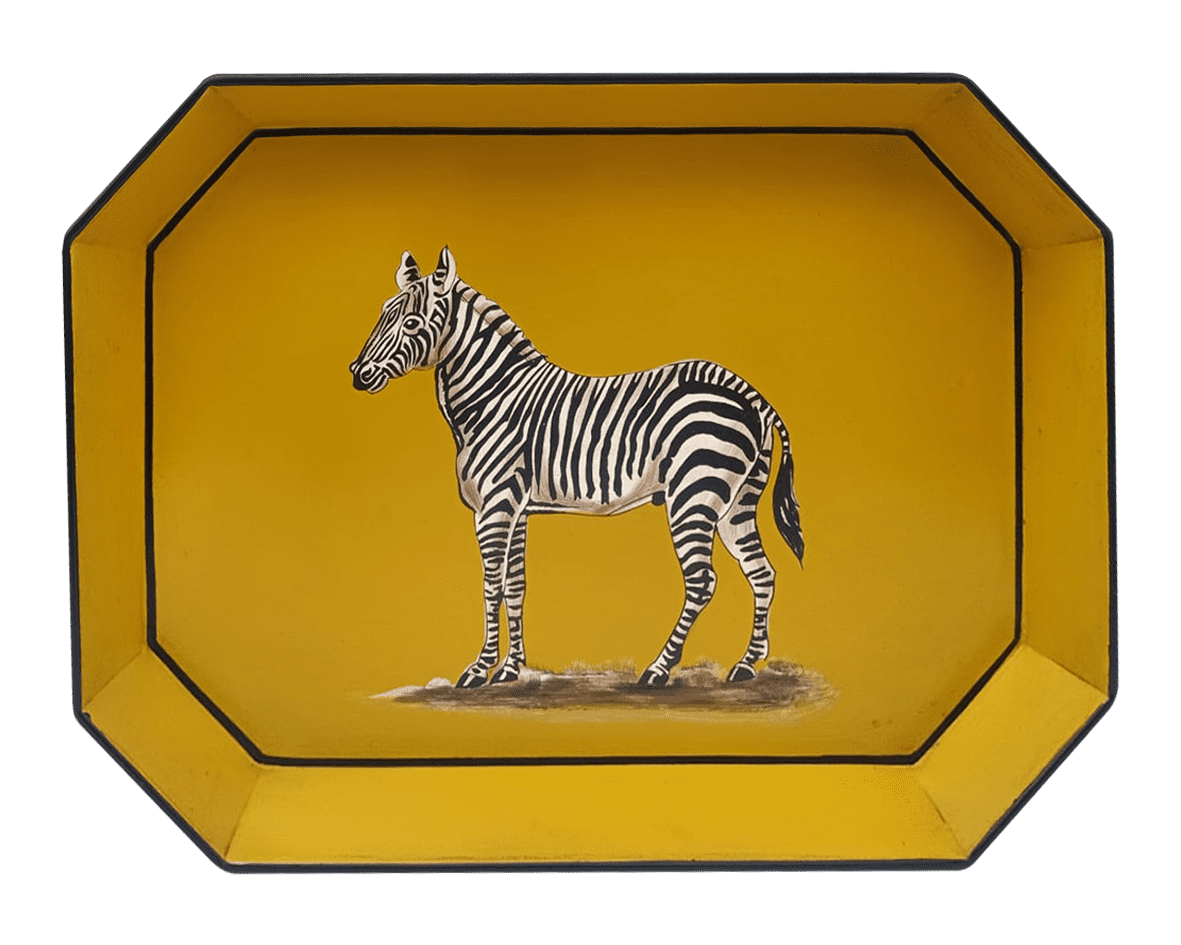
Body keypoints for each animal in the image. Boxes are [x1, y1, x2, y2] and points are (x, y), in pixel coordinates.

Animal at [350, 247, 803, 689]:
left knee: (702, 582)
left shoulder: (495, 505)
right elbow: (516, 586)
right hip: (735, 502)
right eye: (382, 313)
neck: (494, 396)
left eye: (411, 323)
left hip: (694, 495)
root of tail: (750, 392)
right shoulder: (518, 508)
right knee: (762, 573)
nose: (357, 375)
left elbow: (491, 584)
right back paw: (746, 665)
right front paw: (510, 669)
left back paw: (658, 670)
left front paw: (479, 670)